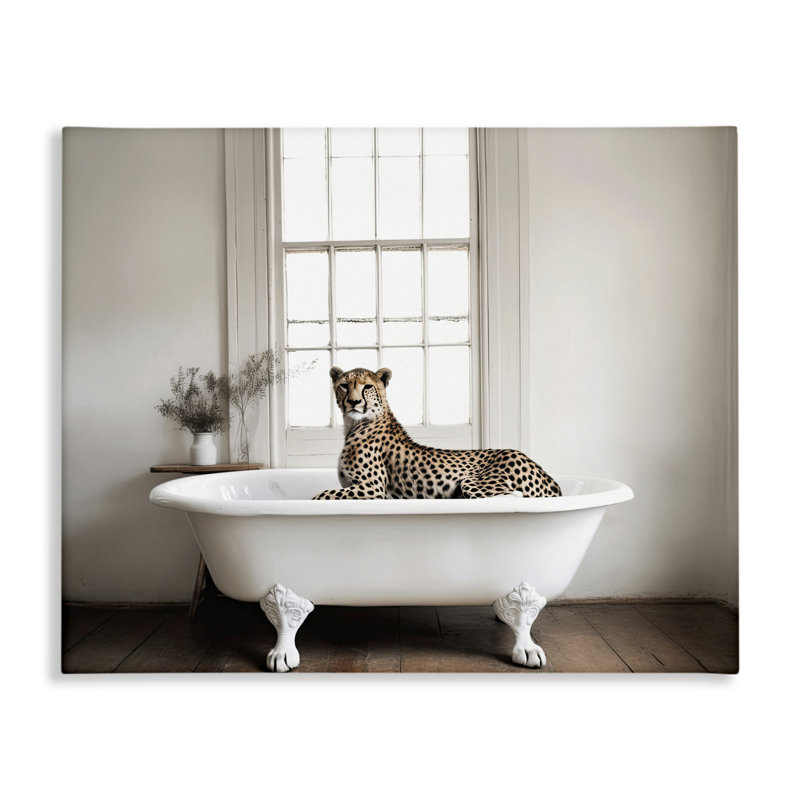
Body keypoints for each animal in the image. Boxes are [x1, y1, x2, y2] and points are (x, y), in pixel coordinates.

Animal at [312, 366, 562, 500]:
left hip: (473, 482)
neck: (356, 423)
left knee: (510, 496)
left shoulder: (371, 489)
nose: (354, 402)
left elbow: (320, 495)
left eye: (367, 387)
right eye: (344, 385)